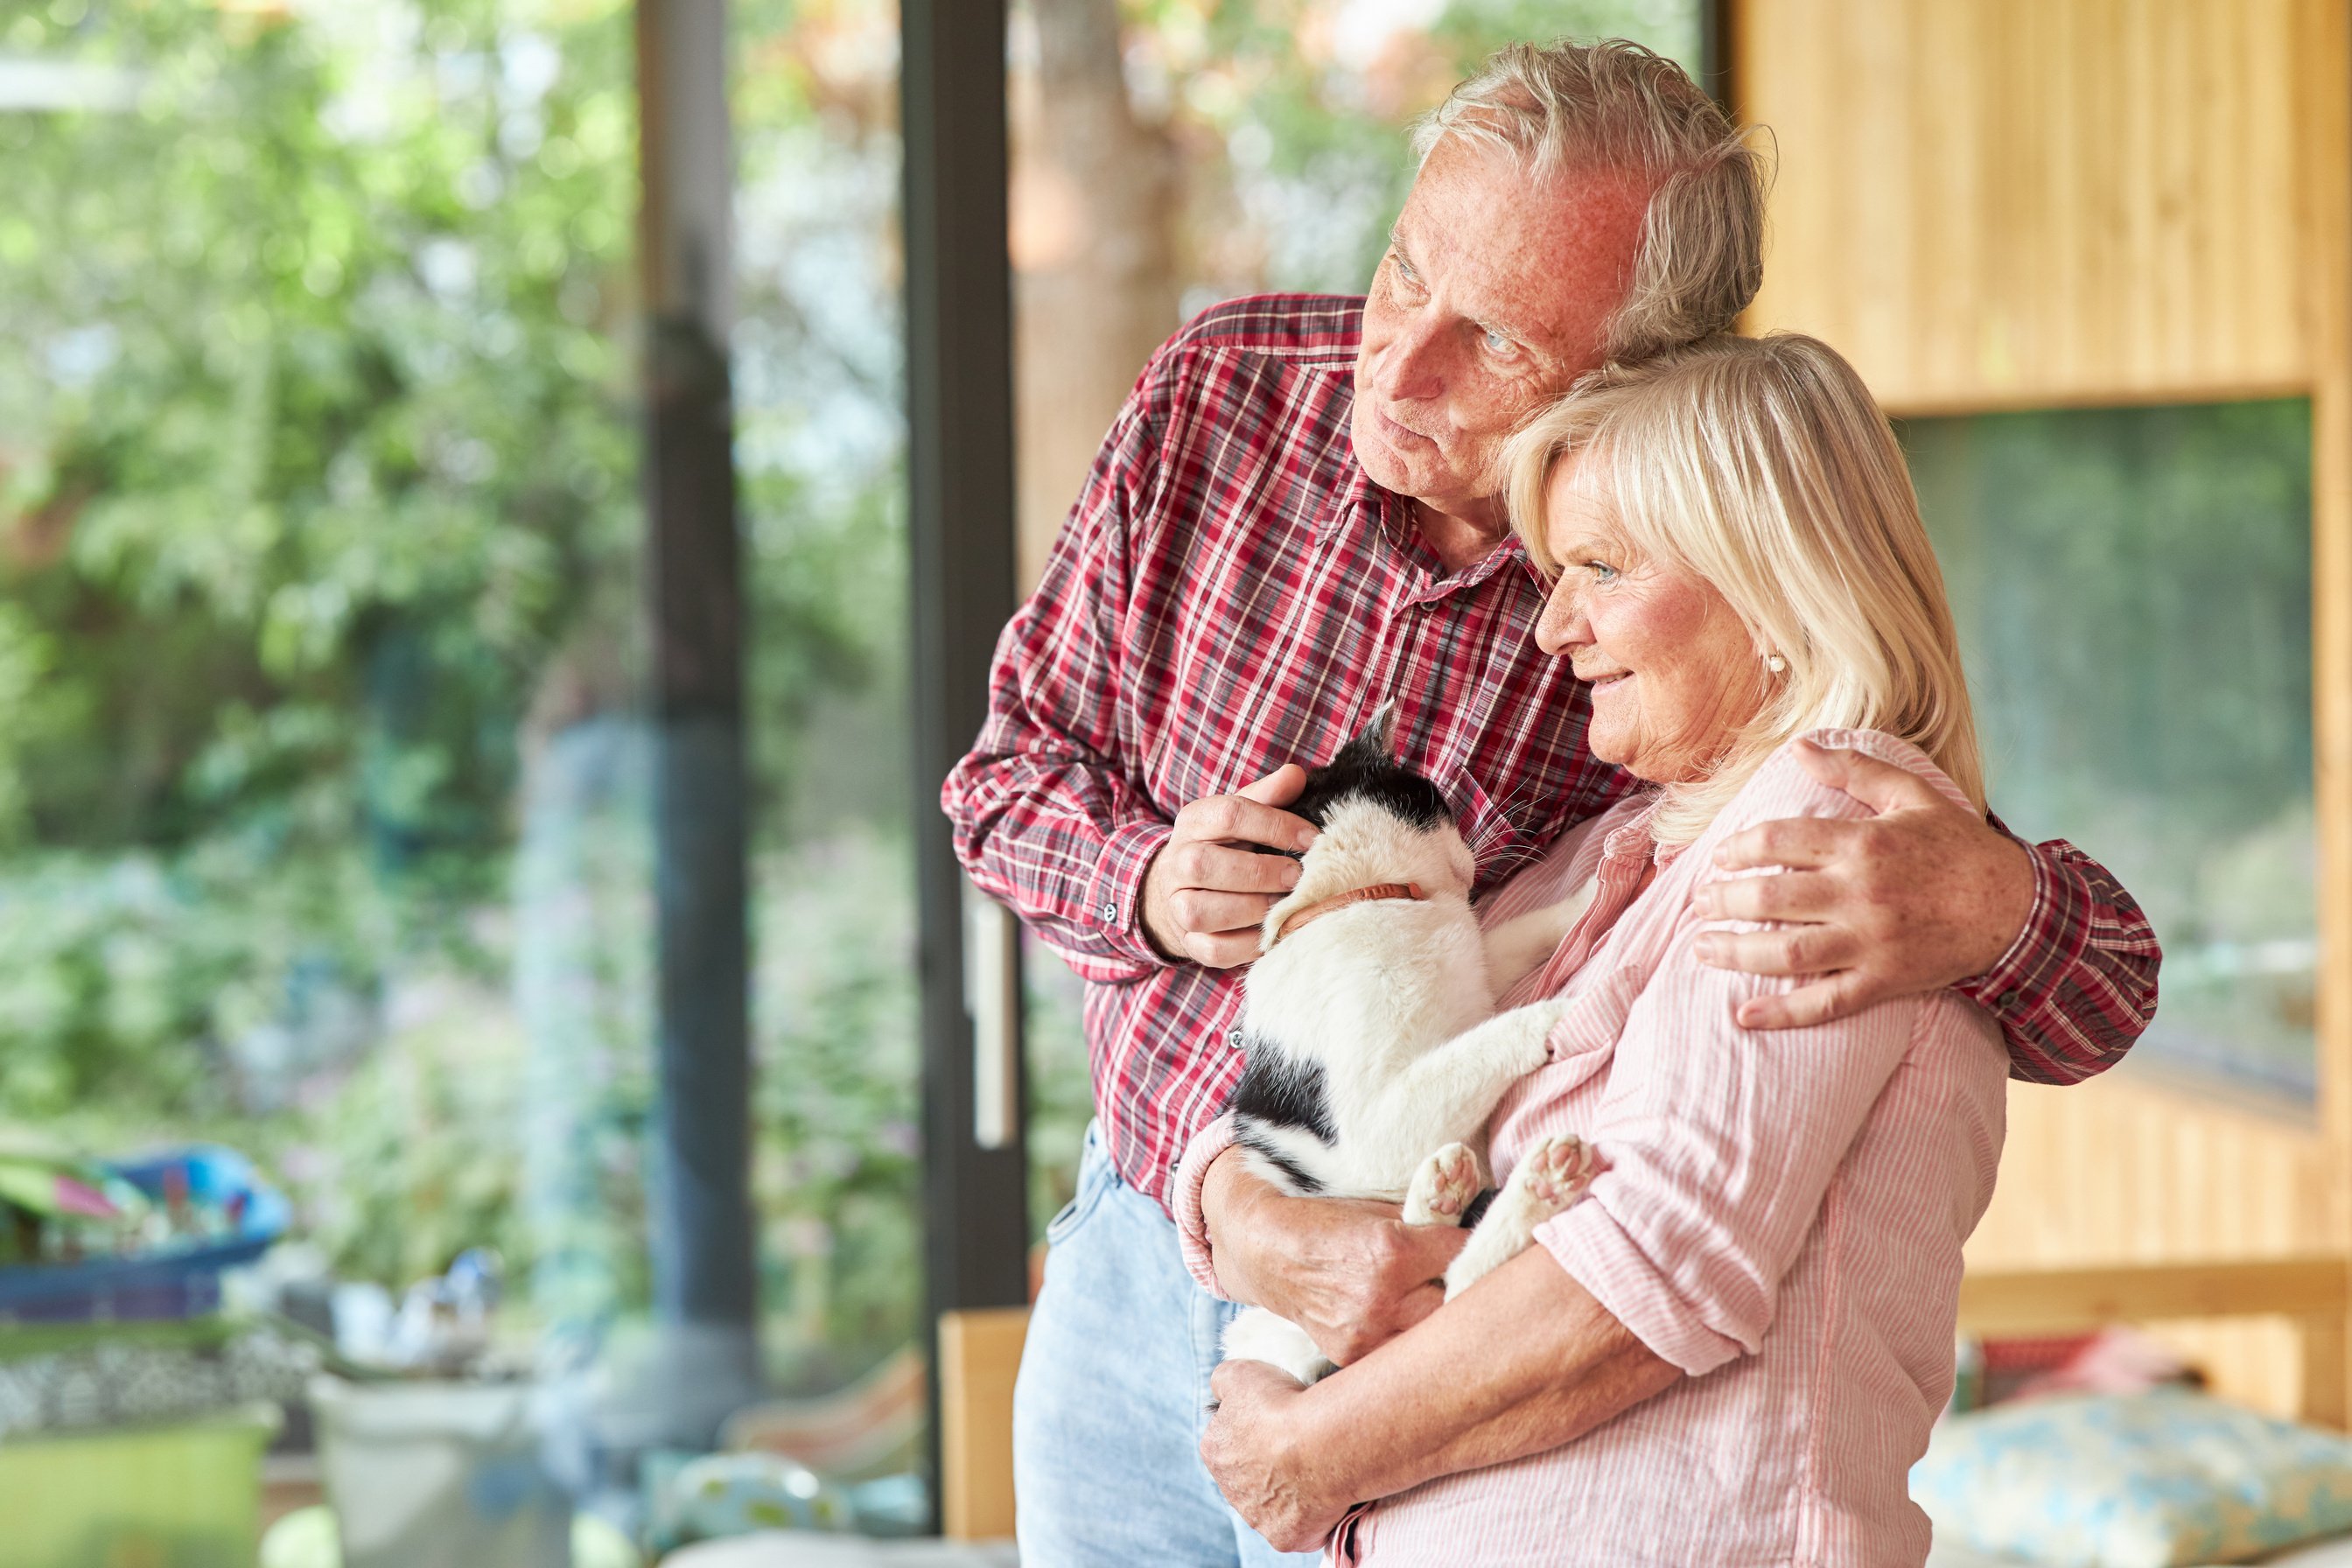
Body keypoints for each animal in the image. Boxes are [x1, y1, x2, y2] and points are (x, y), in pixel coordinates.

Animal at [1222, 710, 1608, 1382]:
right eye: (1444, 805)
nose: (1475, 863)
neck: (1360, 902)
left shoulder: (1480, 972)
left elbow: (1514, 935)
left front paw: (1586, 898)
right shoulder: (1375, 1128)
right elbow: (1479, 1045)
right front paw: (1555, 1011)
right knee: (1449, 1289)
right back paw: (1521, 1183)